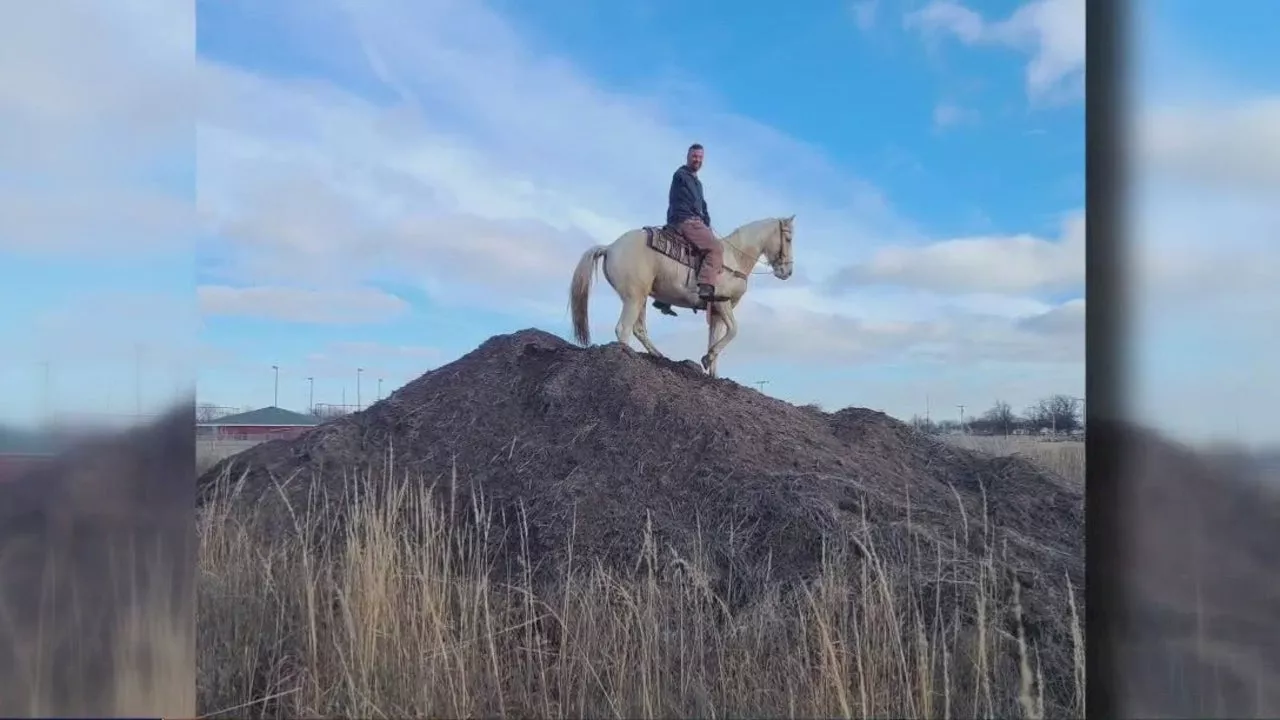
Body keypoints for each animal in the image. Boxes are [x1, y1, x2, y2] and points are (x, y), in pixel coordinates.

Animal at [568, 213, 788, 376]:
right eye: (788, 238)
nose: (787, 271)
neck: (734, 259)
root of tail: (610, 247)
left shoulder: (716, 311)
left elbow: (714, 339)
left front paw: (712, 370)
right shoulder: (722, 303)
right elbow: (733, 331)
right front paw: (708, 357)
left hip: (640, 297)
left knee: (639, 329)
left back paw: (657, 354)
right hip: (633, 297)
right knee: (624, 328)